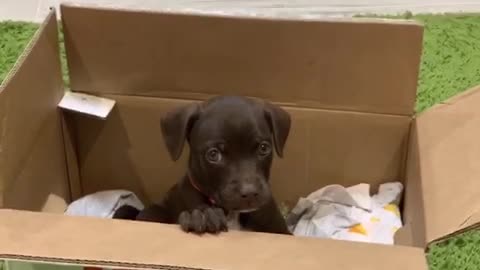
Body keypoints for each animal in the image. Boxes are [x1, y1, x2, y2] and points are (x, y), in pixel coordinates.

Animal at [114, 95, 290, 234]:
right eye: (213, 154)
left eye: (264, 148)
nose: (250, 193)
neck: (232, 214)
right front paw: (202, 216)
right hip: (153, 212)